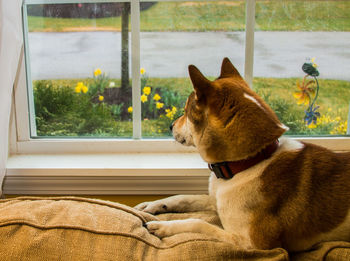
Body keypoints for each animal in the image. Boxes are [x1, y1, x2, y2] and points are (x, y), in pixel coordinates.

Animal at [135, 58, 350, 251]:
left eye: (186, 111)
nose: (171, 126)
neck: (249, 162)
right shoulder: (218, 201)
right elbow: (183, 197)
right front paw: (152, 206)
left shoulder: (254, 243)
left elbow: (199, 223)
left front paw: (162, 226)